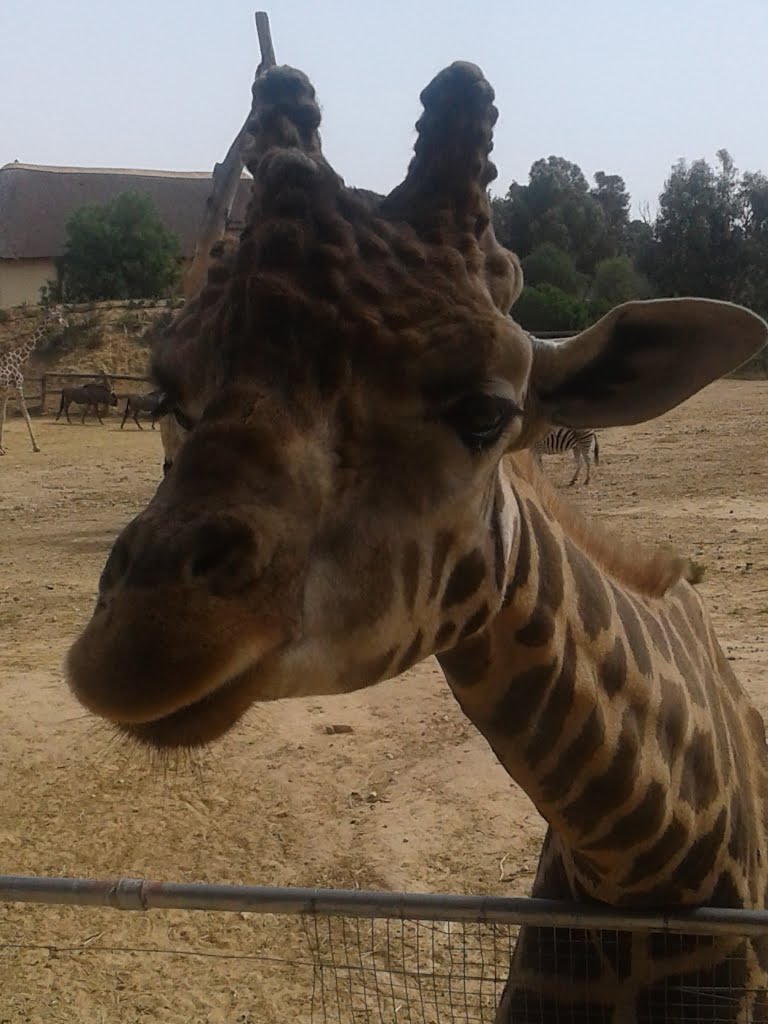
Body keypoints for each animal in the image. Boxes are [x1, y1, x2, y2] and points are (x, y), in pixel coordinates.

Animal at [0, 305, 67, 454]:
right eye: (58, 316)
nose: (66, 324)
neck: (19, 359)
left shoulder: (7, 391)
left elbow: (3, 417)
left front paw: (1, 448)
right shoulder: (18, 386)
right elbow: (26, 415)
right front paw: (36, 446)